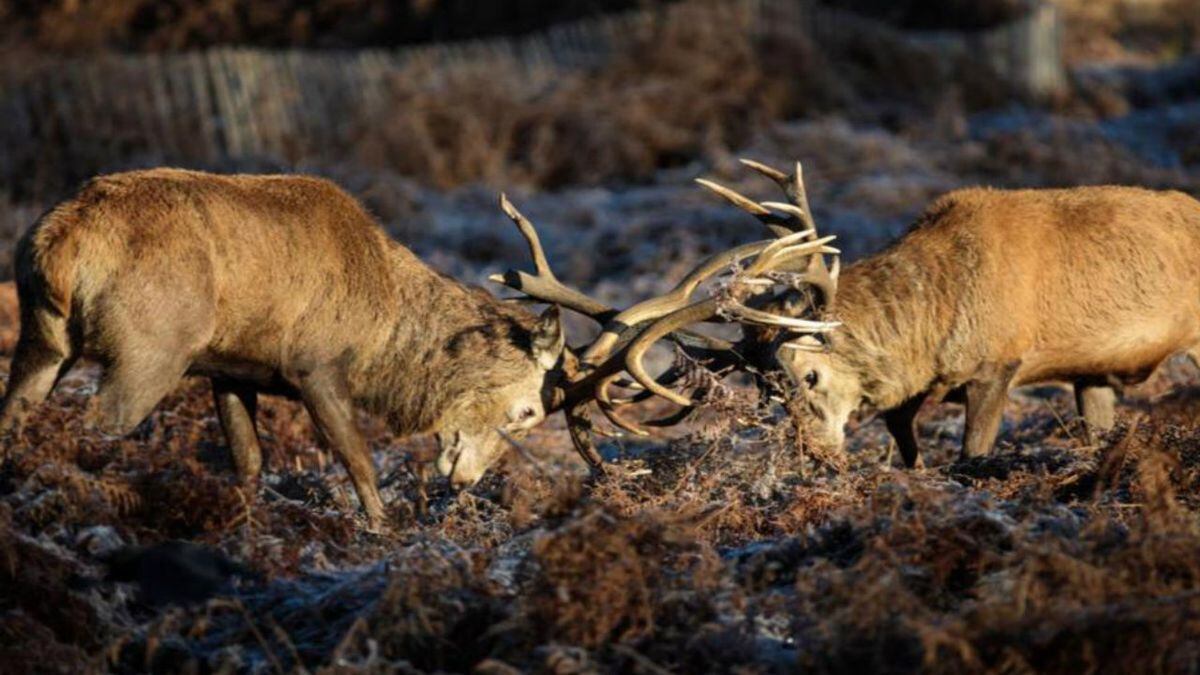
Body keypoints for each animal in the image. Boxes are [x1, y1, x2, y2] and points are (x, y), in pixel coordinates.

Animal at [0, 168, 836, 529]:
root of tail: (56, 247)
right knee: (96, 429)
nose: (463, 478)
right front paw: (383, 532)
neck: (382, 333)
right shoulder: (313, 362)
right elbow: (359, 459)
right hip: (148, 345)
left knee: (15, 415)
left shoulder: (228, 365)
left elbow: (249, 464)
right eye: (528, 411)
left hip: (43, 338)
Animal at [690, 159, 1200, 467]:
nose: (818, 453)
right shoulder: (919, 384)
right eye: (768, 394)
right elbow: (905, 438)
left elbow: (971, 455)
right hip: (1091, 373)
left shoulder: (998, 361)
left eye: (810, 375)